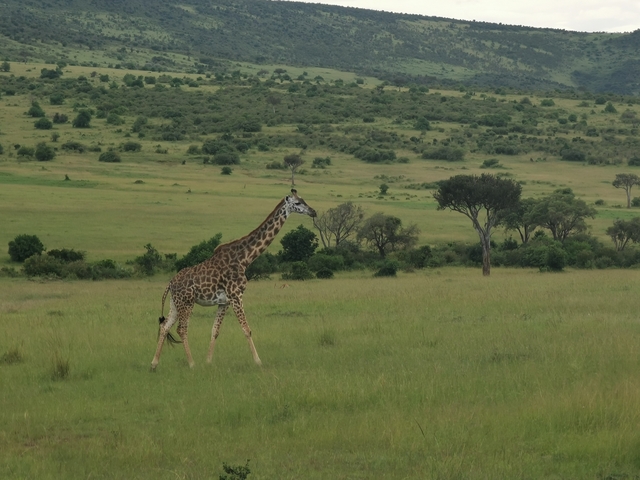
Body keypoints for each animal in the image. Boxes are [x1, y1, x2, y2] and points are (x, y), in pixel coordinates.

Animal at [150, 189, 317, 370]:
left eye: (304, 199)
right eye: (297, 203)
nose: (313, 212)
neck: (245, 258)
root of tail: (170, 284)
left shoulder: (224, 301)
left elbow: (215, 330)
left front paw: (208, 362)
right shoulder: (236, 295)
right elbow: (246, 329)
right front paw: (258, 361)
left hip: (175, 303)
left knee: (165, 326)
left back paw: (154, 363)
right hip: (187, 302)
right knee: (181, 329)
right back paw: (192, 363)